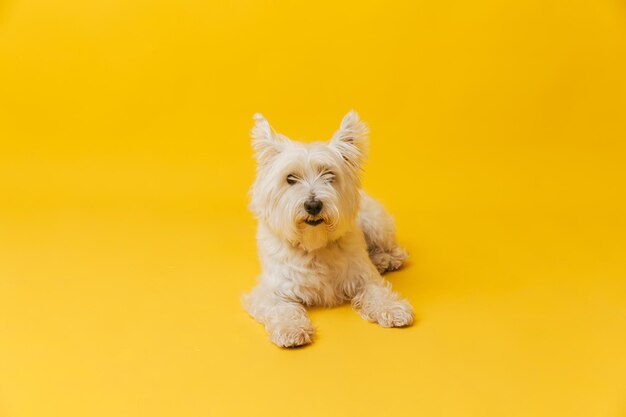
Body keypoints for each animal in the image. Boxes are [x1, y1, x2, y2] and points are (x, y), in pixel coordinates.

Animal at [241, 109, 412, 346]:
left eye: (329, 175)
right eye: (290, 178)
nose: (313, 205)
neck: (314, 245)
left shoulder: (363, 277)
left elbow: (378, 292)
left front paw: (394, 309)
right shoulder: (270, 290)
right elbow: (281, 309)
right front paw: (291, 329)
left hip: (375, 223)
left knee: (394, 250)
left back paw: (385, 260)